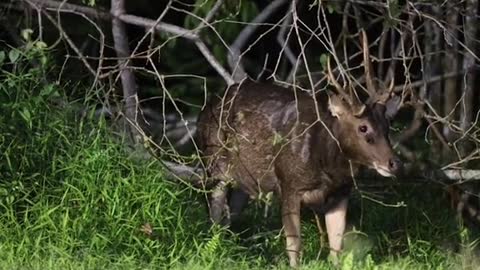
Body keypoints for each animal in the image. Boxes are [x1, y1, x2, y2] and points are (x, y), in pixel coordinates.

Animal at [195, 31, 402, 266]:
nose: (394, 163)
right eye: (363, 127)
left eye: (387, 125)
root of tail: (205, 109)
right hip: (214, 164)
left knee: (232, 213)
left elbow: (336, 245)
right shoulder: (288, 183)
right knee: (214, 211)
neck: (328, 165)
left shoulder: (341, 192)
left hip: (244, 180)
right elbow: (294, 245)